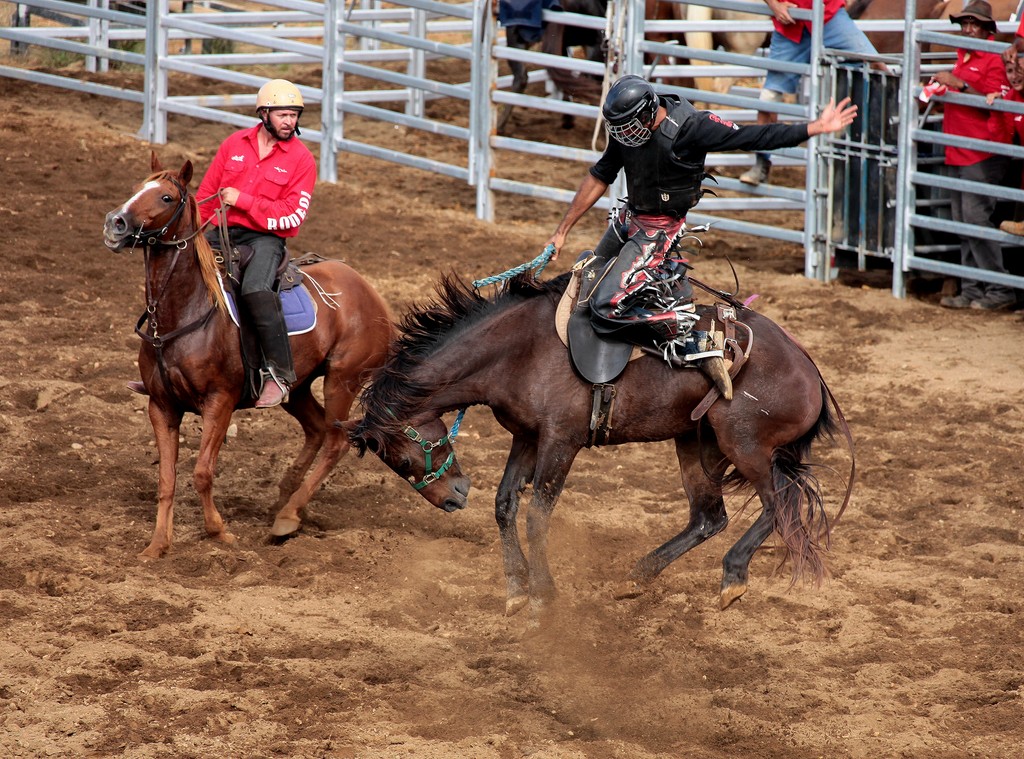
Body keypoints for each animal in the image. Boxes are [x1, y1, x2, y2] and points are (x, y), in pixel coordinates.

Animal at [102, 154, 395, 559]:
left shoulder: (219, 401)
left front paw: (218, 531)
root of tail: (373, 295)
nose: (115, 223)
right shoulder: (161, 405)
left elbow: (202, 472)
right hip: (297, 386)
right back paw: (286, 500)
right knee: (316, 428)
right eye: (136, 189)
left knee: (336, 442)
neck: (188, 310)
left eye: (165, 197)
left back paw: (288, 515)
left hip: (343, 380)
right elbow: (167, 479)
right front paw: (158, 544)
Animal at [346, 272, 855, 617]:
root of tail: (807, 365)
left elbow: (537, 515)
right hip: (697, 444)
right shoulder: (527, 436)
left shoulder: (561, 440)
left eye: (405, 456)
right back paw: (636, 578)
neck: (517, 351)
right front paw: (516, 589)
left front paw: (545, 594)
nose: (455, 495)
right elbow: (506, 505)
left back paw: (732, 575)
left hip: (744, 445)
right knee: (710, 517)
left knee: (781, 502)